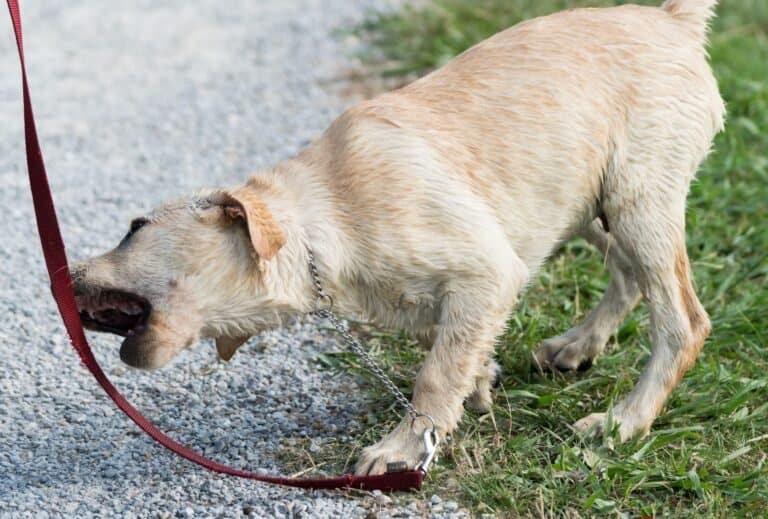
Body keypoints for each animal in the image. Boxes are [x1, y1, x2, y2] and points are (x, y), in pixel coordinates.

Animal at [69, 0, 724, 478]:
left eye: (134, 227)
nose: (63, 276)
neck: (323, 221)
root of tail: (673, 19)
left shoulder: (488, 270)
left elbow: (435, 373)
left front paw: (404, 448)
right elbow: (452, 350)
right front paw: (478, 385)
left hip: (640, 199)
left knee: (683, 321)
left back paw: (621, 423)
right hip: (586, 204)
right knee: (627, 276)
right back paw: (577, 346)